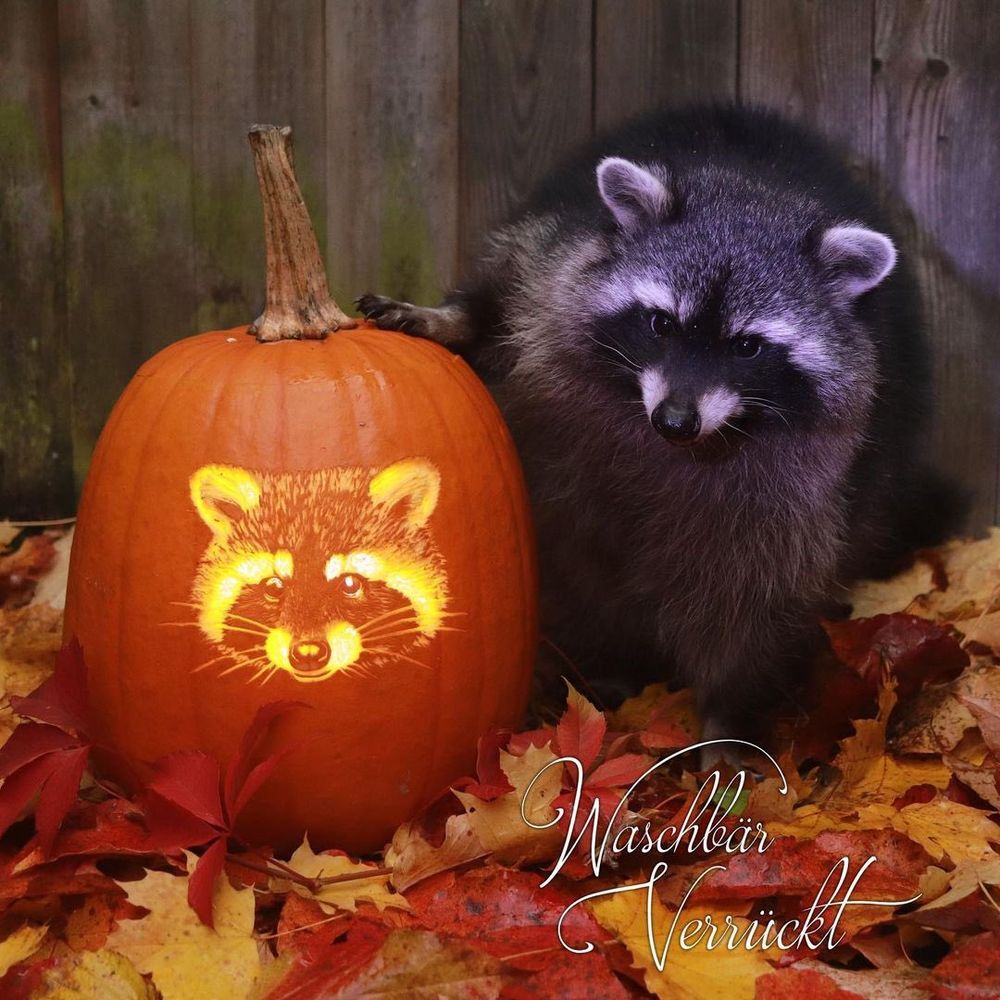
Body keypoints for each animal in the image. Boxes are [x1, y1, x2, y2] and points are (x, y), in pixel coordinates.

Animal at [357, 105, 956, 746]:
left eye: (747, 346)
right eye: (661, 323)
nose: (675, 421)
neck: (754, 191)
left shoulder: (805, 484)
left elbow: (757, 592)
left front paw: (729, 710)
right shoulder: (555, 253)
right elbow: (504, 296)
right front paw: (450, 317)